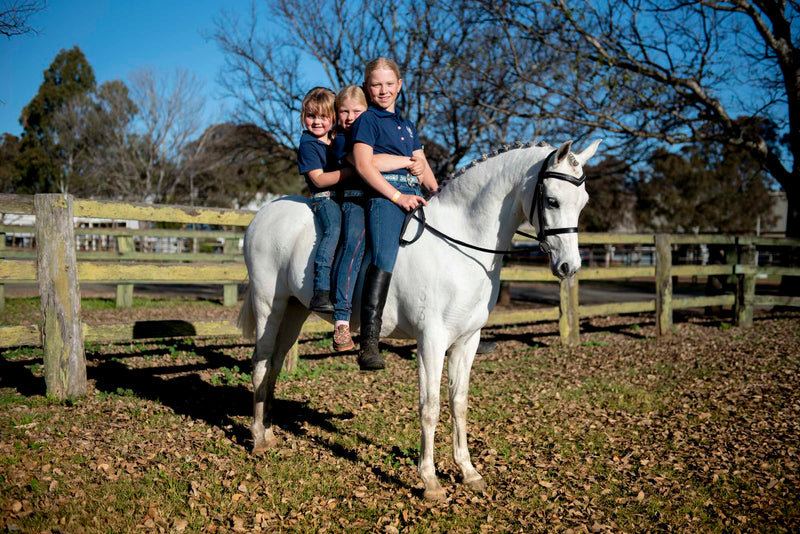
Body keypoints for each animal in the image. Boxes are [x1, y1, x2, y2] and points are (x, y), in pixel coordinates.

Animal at [238, 138, 600, 502]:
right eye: (552, 200)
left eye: (583, 203)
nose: (569, 267)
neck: (461, 244)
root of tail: (264, 213)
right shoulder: (431, 340)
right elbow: (430, 407)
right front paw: (430, 480)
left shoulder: (467, 341)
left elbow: (459, 403)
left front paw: (468, 472)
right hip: (269, 305)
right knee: (261, 362)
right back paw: (258, 439)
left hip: (294, 309)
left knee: (274, 364)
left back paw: (268, 432)